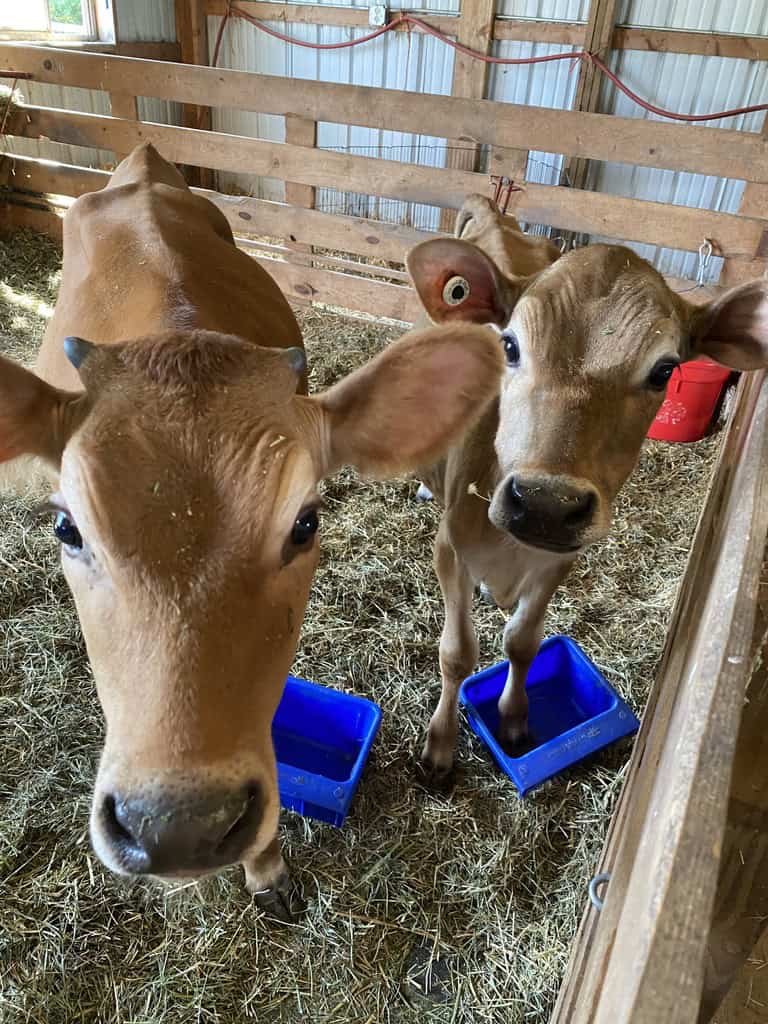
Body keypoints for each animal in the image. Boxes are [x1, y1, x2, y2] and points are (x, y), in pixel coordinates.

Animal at [406, 193, 768, 788]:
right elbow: (457, 653)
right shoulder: (449, 549)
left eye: (664, 370)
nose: (546, 505)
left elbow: (522, 642)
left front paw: (514, 718)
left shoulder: (560, 558)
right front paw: (439, 747)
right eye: (510, 345)